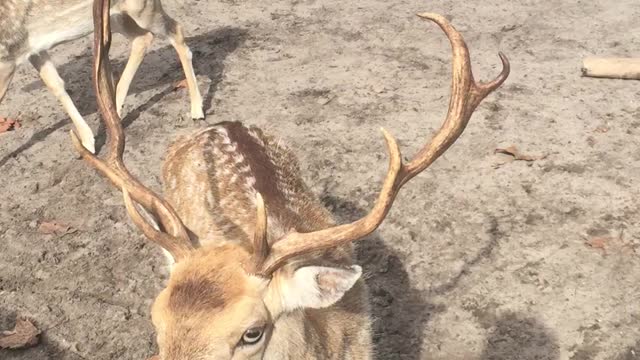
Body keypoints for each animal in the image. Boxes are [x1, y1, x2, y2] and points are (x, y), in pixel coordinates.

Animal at [0, 0, 204, 153]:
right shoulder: (31, 48)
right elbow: (55, 85)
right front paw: (87, 142)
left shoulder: (6, 58)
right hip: (114, 17)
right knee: (143, 38)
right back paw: (115, 114)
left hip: (142, 9)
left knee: (176, 30)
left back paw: (196, 109)